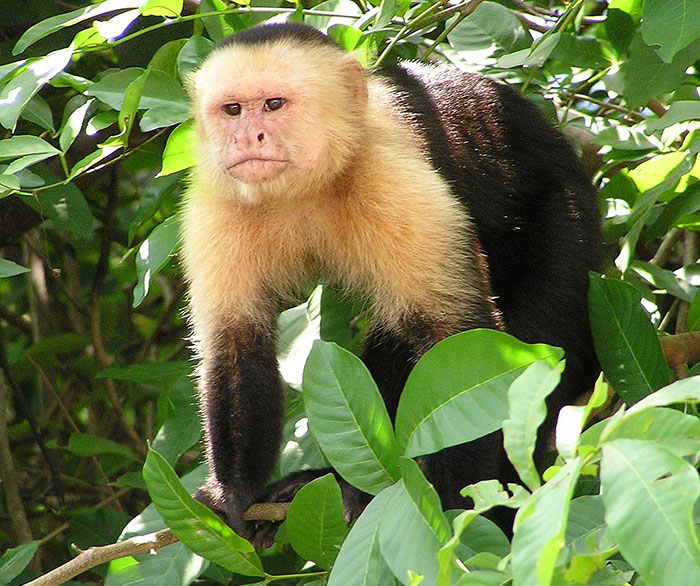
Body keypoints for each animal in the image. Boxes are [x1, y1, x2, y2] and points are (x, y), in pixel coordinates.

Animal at [180, 22, 601, 544]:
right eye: (232, 110)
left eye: (274, 105)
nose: (246, 137)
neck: (306, 190)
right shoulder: (217, 202)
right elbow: (236, 343)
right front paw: (233, 493)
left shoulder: (394, 181)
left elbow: (459, 341)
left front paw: (455, 513)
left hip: (567, 223)